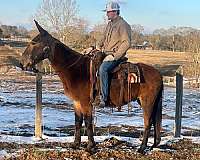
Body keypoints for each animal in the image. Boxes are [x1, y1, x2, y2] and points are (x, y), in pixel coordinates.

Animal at [20, 20, 163, 154]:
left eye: (34, 43)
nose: (22, 63)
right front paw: (75, 144)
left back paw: (141, 148)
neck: (75, 69)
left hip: (147, 102)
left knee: (147, 123)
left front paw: (90, 146)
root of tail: (158, 73)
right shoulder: (76, 102)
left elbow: (88, 123)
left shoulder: (86, 103)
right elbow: (78, 122)